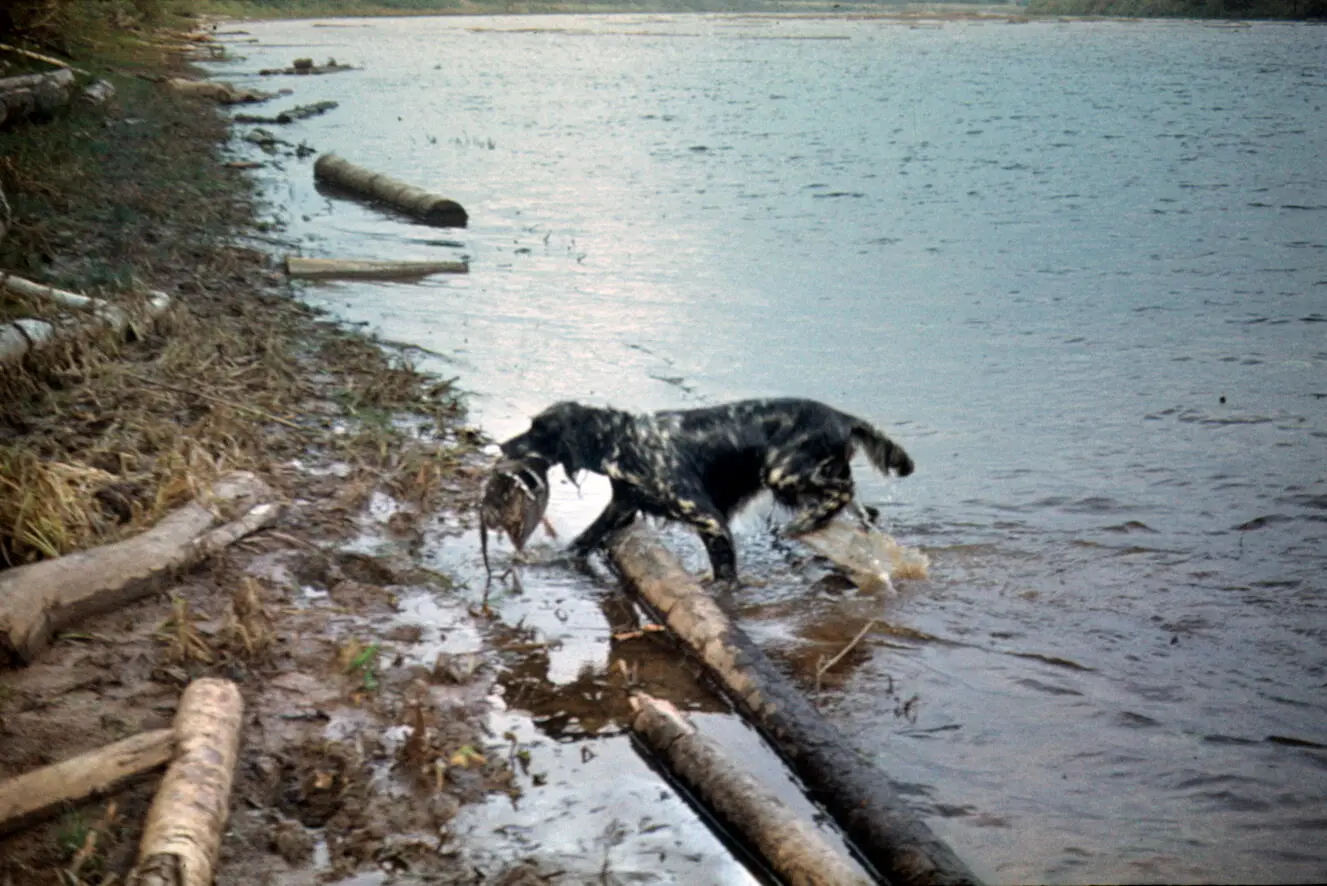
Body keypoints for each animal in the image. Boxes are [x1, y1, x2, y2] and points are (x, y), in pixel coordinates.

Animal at [498, 400, 912, 580]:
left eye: (537, 429)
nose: (502, 446)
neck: (625, 441)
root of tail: (843, 417)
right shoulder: (622, 505)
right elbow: (583, 540)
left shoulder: (710, 520)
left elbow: (724, 574)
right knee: (863, 511)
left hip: (782, 474)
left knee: (844, 490)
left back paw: (801, 525)